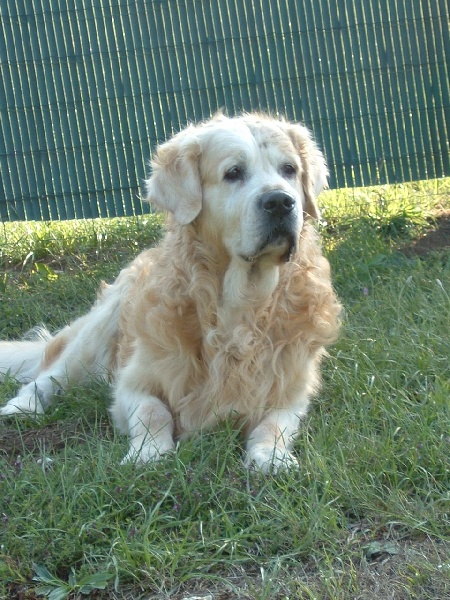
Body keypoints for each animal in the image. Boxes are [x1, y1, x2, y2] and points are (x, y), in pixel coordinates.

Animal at [0, 113, 342, 474]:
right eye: (233, 173)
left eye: (289, 169)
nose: (279, 201)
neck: (240, 308)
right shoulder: (132, 384)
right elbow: (154, 411)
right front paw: (149, 451)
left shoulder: (292, 389)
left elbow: (275, 422)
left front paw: (271, 456)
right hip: (97, 333)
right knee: (49, 377)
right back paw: (22, 406)